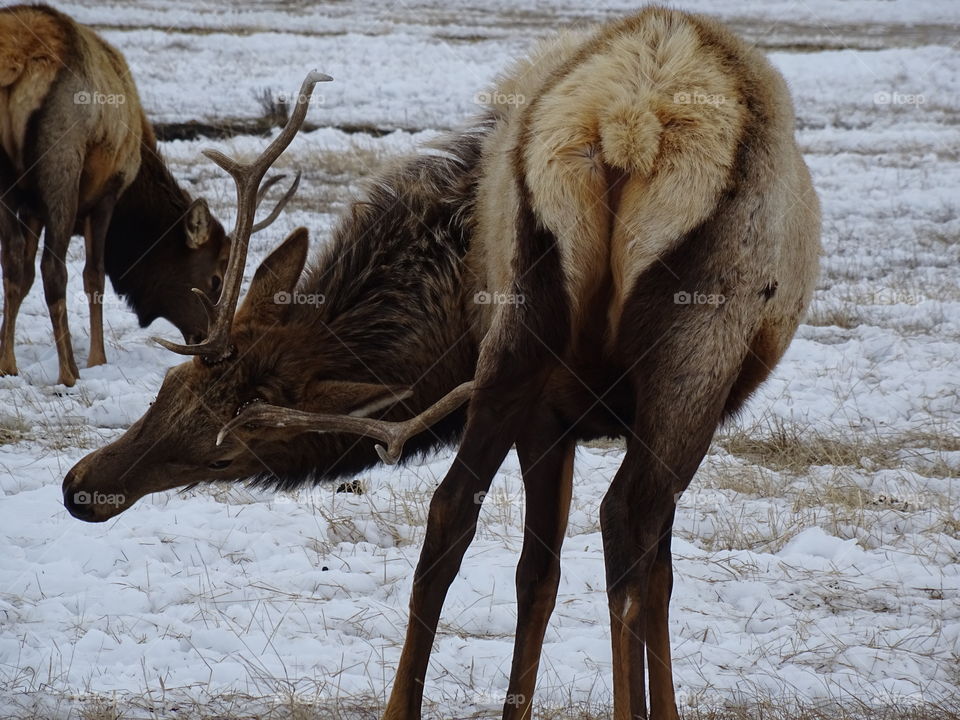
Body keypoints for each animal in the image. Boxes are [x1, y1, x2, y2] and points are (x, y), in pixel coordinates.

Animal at [0, 4, 297, 386]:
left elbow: (21, 275)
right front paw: (97, 359)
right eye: (215, 279)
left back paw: (10, 364)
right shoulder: (108, 191)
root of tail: (18, 61)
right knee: (54, 269)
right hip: (62, 161)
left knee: (13, 263)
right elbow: (94, 276)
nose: (214, 347)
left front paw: (7, 360)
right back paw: (70, 372)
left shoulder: (31, 206)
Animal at [62, 7, 821, 720]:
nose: (80, 488)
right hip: (691, 353)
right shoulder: (579, 419)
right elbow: (635, 572)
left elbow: (537, 575)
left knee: (454, 510)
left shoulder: (547, 417)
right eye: (170, 384)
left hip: (520, 332)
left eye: (225, 451)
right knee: (626, 521)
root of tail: (628, 130)